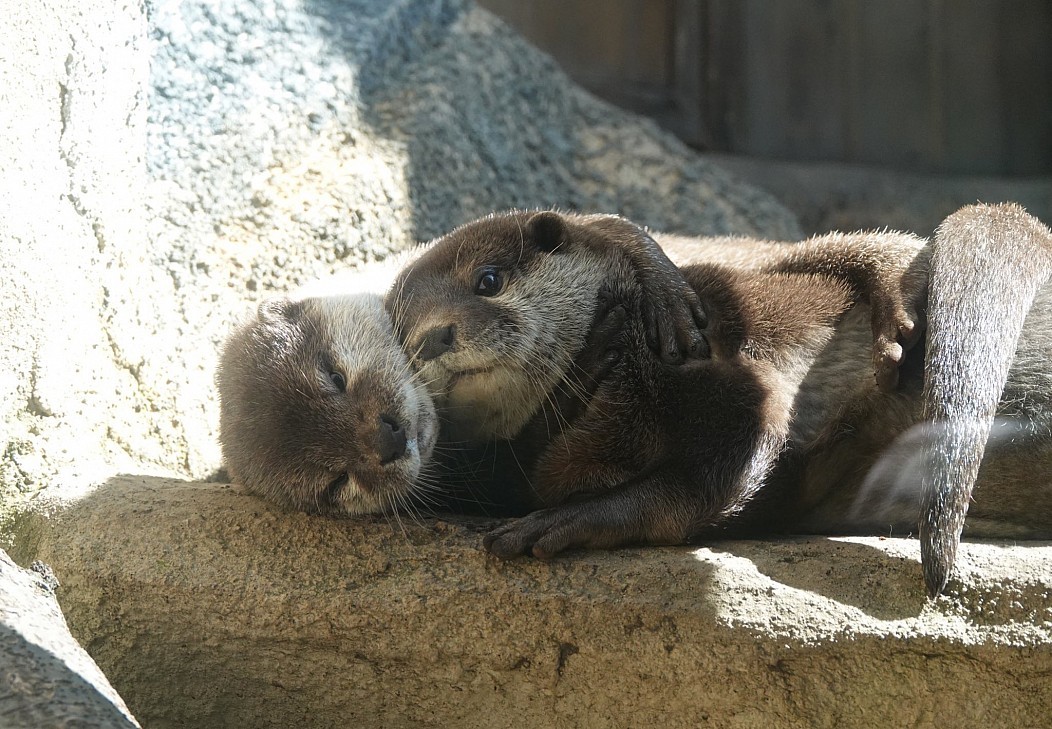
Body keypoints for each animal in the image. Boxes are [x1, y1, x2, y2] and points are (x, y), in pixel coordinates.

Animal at [391, 201, 1052, 593]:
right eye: (401, 335)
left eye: (488, 280)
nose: (431, 337)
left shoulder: (690, 367)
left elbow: (729, 457)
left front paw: (584, 517)